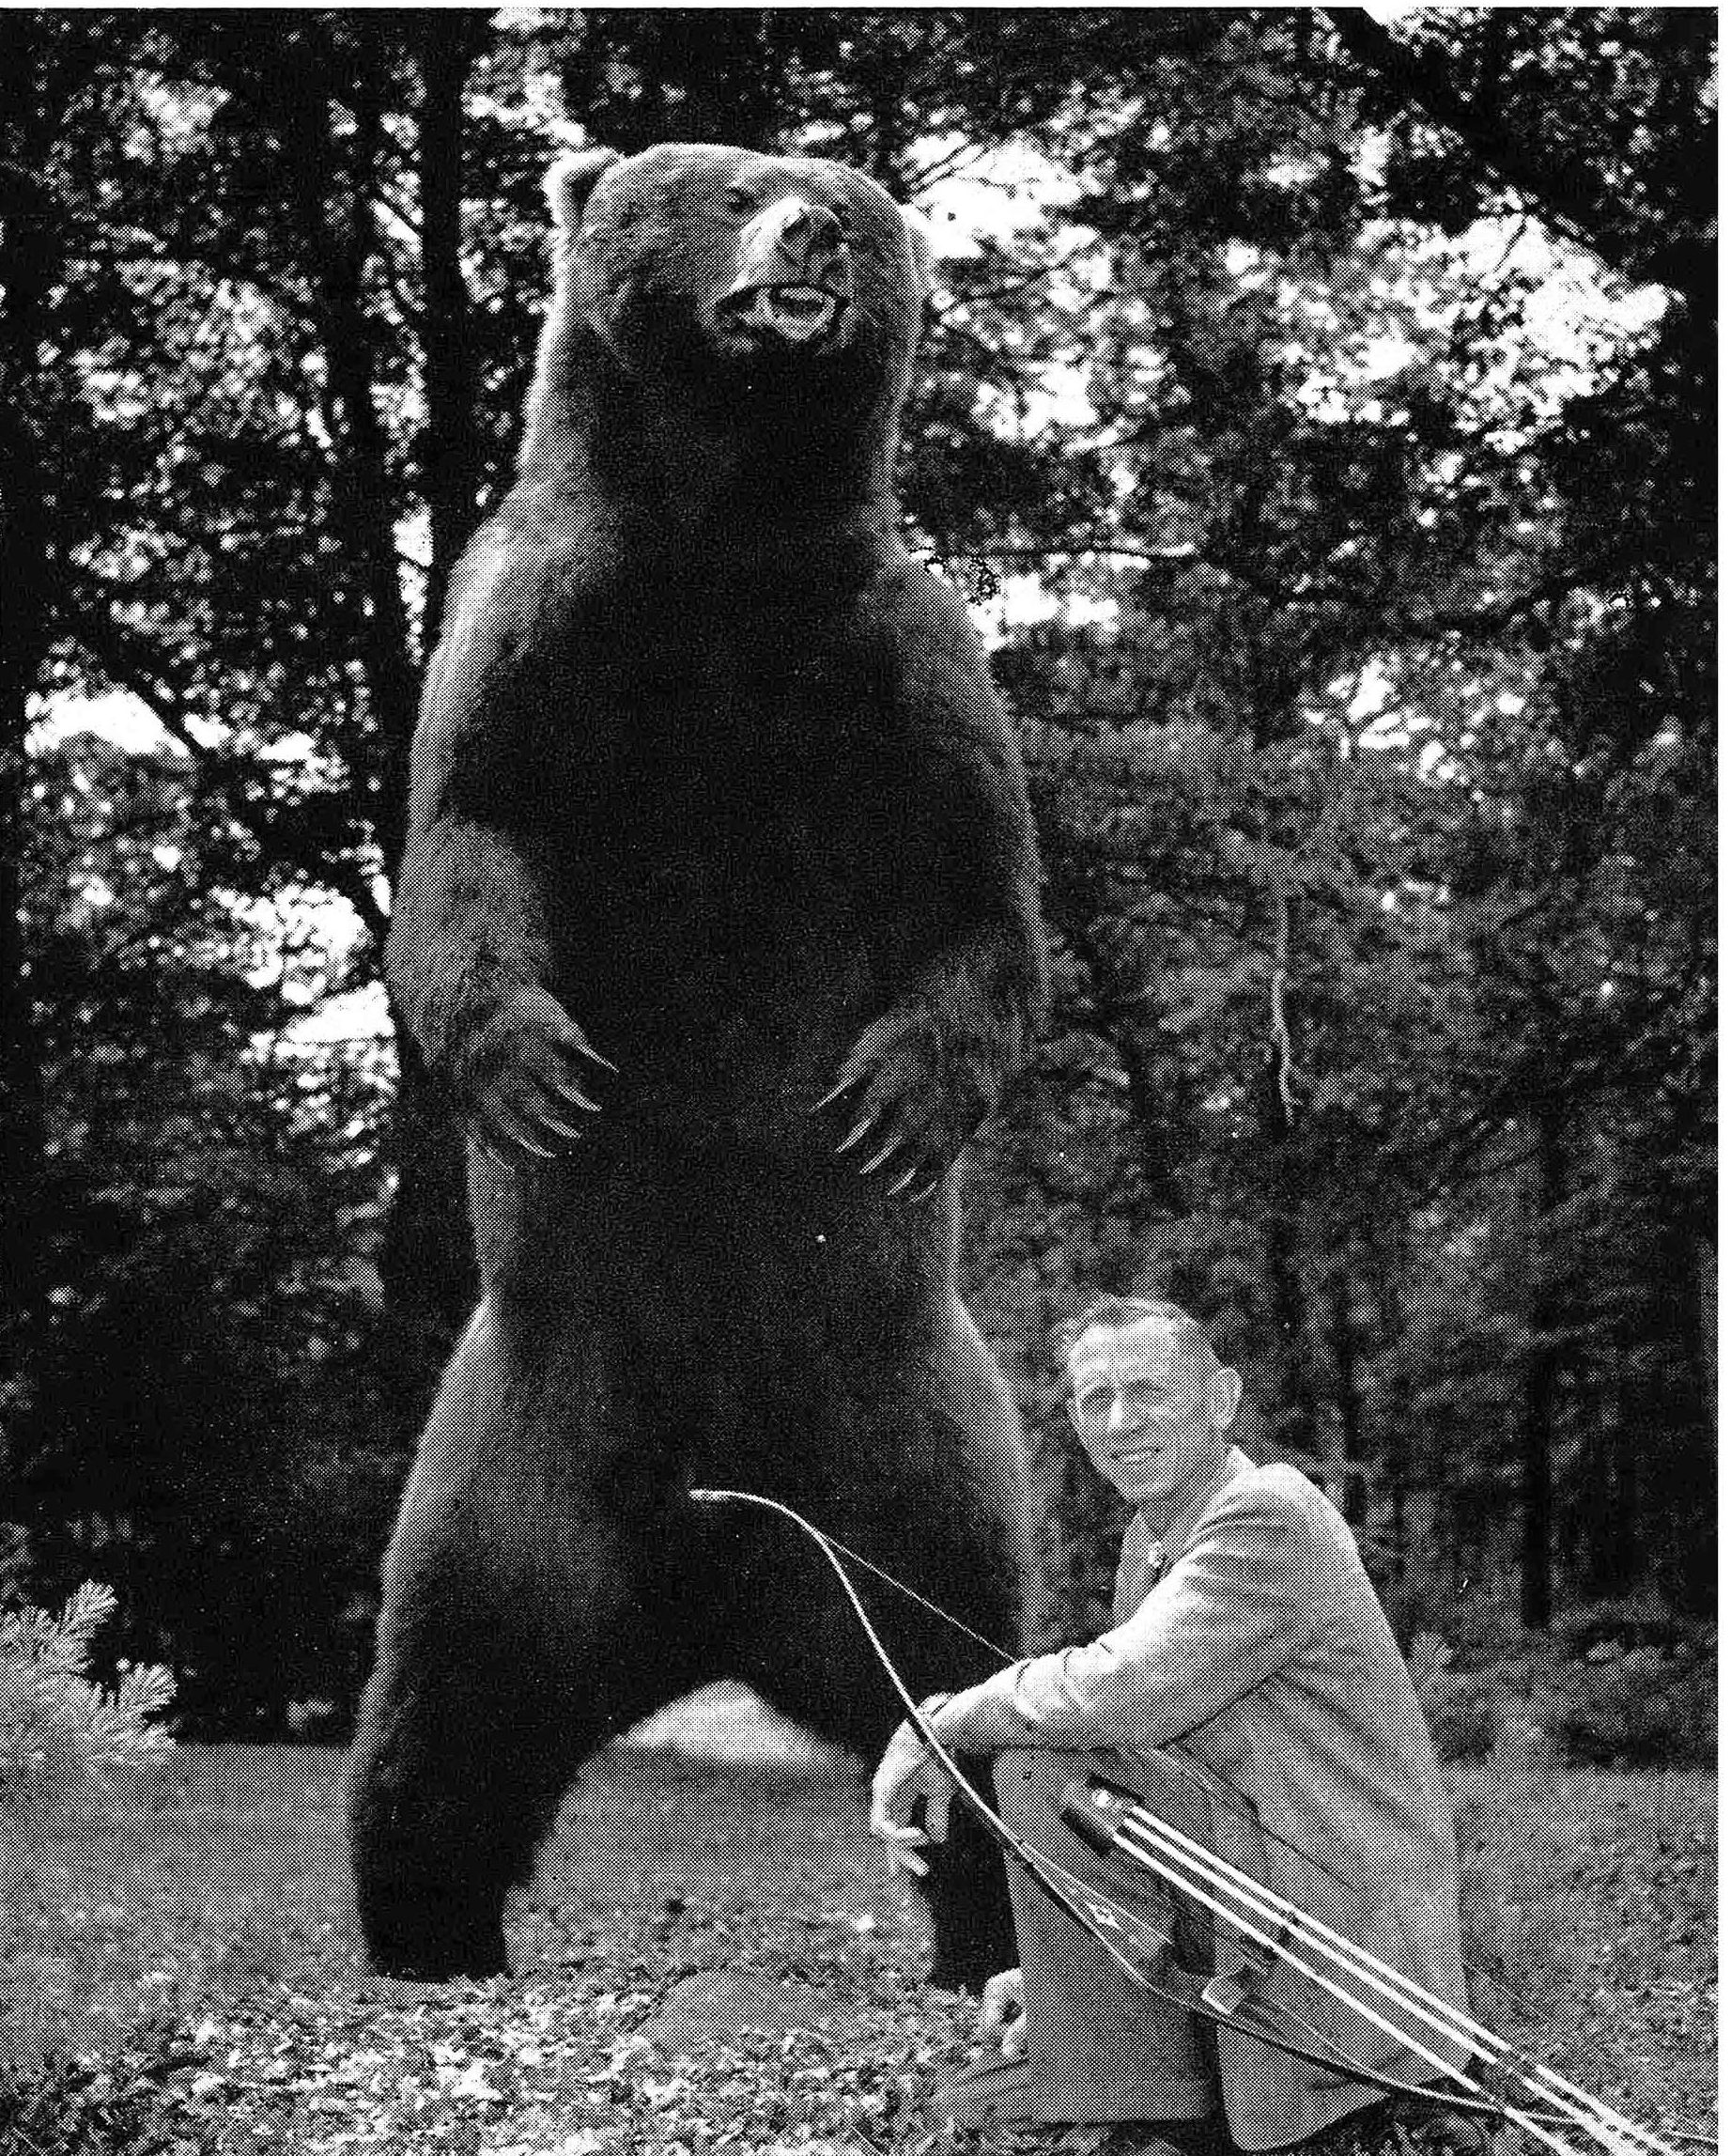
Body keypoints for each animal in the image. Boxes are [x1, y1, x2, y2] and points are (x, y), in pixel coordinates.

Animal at [345, 140, 1047, 1991]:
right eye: (727, 186)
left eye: (844, 202)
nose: (807, 236)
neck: (723, 552)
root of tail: (717, 1586)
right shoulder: (536, 628)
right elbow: (467, 845)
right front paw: (535, 1078)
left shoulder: (899, 655)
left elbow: (981, 898)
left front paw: (888, 1102)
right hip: (506, 1489)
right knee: (439, 1721)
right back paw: (424, 1936)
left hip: (911, 1476)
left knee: (970, 1704)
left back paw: (988, 1935)